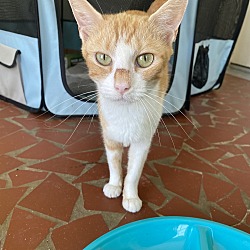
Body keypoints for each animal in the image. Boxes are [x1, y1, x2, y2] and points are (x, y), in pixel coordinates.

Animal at [68, 0, 188, 213]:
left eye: (145, 59)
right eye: (103, 58)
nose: (122, 86)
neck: (126, 113)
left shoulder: (143, 141)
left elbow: (134, 171)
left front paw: (130, 196)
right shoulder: (108, 131)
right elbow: (114, 162)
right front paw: (115, 185)